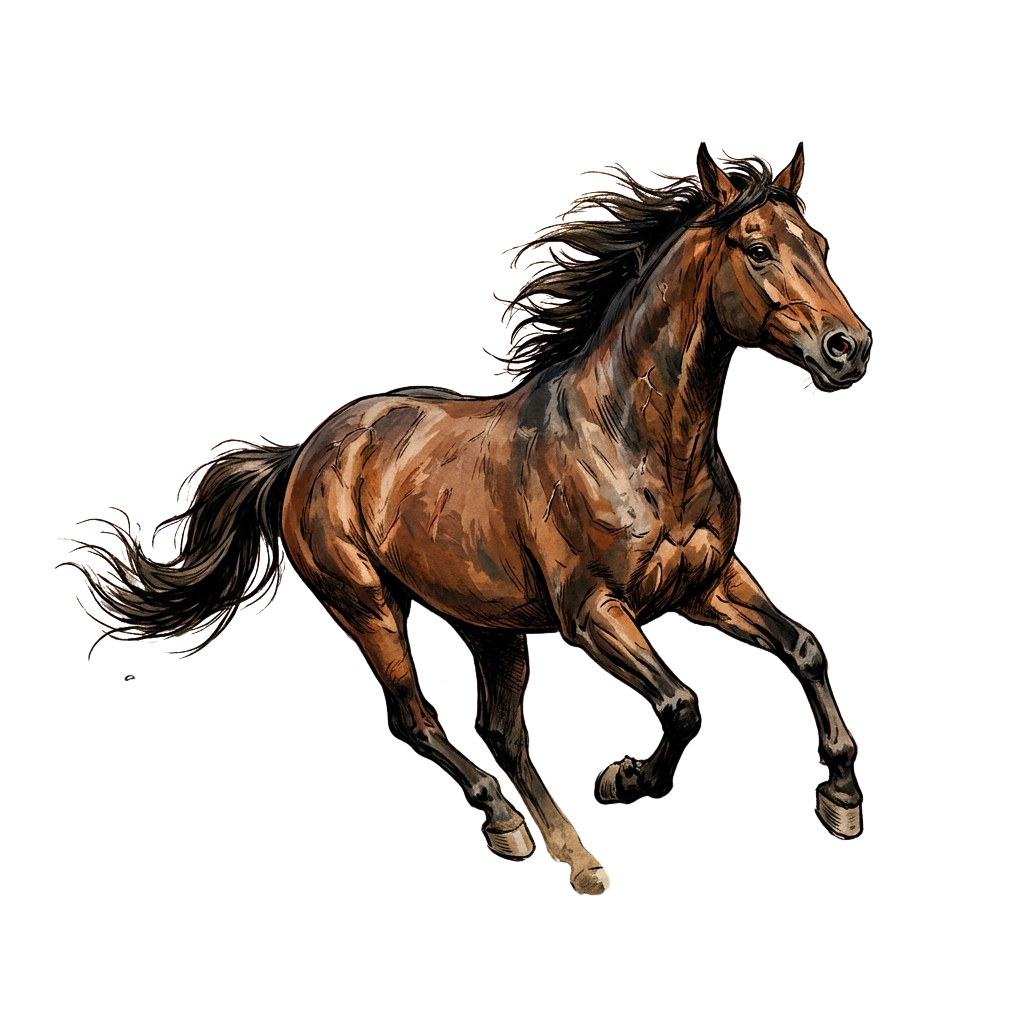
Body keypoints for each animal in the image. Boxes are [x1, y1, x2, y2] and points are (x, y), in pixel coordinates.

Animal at [62, 144, 869, 896]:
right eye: (758, 249)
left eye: (819, 243)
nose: (849, 348)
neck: (635, 440)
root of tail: (308, 450)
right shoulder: (593, 611)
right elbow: (681, 706)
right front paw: (623, 779)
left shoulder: (708, 582)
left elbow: (803, 649)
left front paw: (841, 799)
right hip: (366, 605)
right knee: (420, 722)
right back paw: (508, 825)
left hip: (491, 626)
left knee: (503, 733)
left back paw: (574, 857)